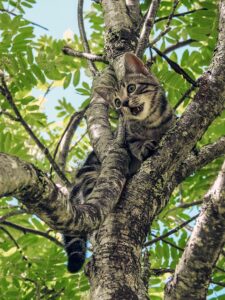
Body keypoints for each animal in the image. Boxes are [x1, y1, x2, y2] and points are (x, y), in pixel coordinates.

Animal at [62, 52, 175, 274]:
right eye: (116, 101)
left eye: (131, 88)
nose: (124, 103)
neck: (152, 123)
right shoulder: (127, 139)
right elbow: (135, 144)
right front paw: (144, 146)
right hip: (91, 176)